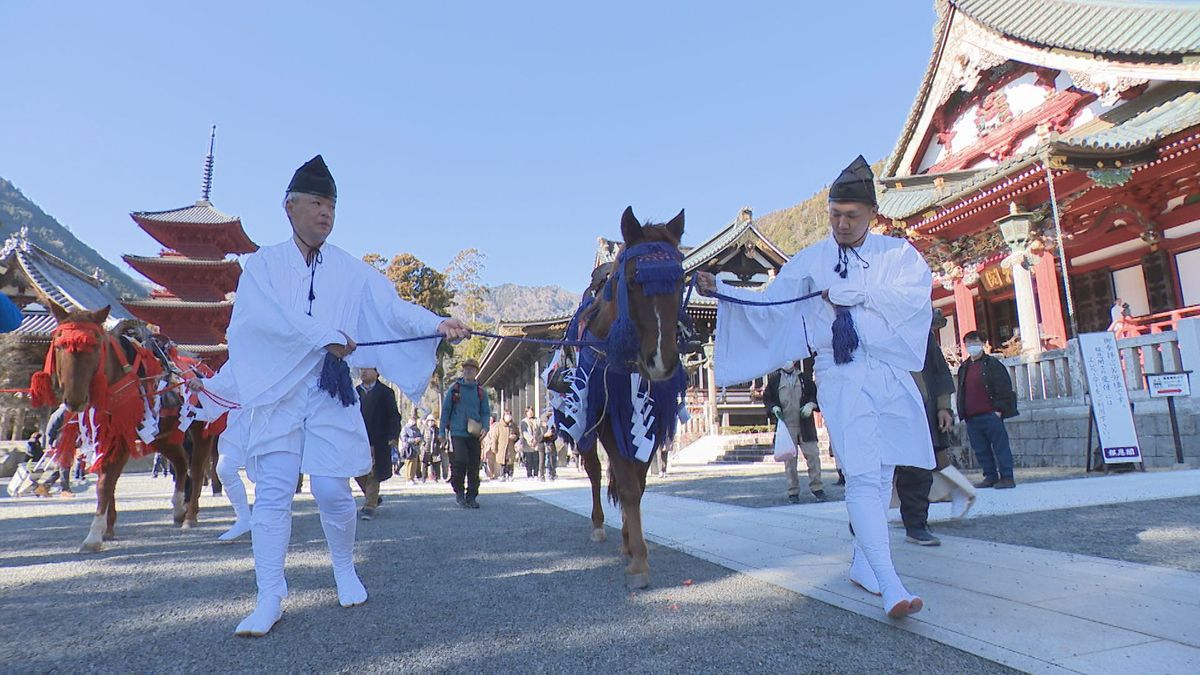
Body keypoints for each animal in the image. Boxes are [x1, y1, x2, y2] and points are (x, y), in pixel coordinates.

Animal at [578, 207, 691, 586]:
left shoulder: (650, 417)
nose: (659, 359)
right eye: (631, 282)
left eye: (680, 280)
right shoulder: (606, 417)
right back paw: (599, 526)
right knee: (596, 472)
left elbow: (637, 484)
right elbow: (626, 485)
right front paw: (639, 561)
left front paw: (634, 546)